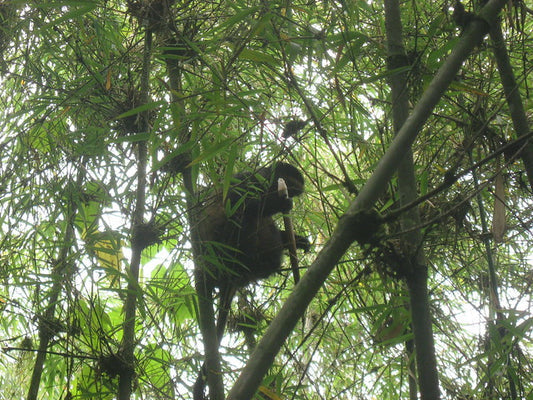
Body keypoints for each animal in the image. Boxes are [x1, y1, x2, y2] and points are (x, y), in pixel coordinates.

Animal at [192, 162, 308, 400]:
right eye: (290, 188)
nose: (288, 196)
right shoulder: (250, 180)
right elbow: (235, 202)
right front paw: (281, 204)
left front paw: (297, 239)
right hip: (225, 246)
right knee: (242, 217)